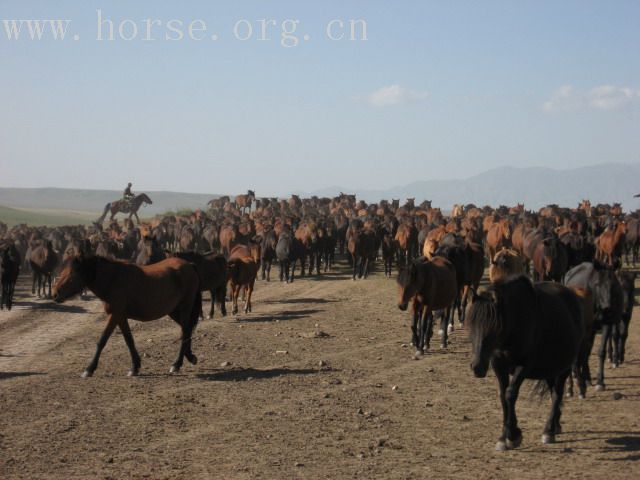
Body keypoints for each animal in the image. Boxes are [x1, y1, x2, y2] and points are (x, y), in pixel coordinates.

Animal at [54, 256, 201, 376]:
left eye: (72, 274)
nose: (55, 294)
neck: (113, 279)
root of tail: (189, 265)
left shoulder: (115, 315)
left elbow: (102, 340)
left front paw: (89, 369)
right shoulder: (121, 317)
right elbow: (129, 340)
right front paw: (135, 367)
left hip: (185, 307)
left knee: (185, 331)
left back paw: (177, 364)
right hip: (173, 311)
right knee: (187, 330)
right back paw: (190, 357)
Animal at [464, 278, 584, 450]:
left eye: (494, 327)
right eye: (471, 326)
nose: (477, 367)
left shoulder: (523, 366)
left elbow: (510, 394)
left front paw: (511, 435)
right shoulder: (498, 366)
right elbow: (503, 396)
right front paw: (506, 436)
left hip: (564, 368)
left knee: (557, 394)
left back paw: (549, 431)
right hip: (550, 369)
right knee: (553, 392)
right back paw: (556, 425)